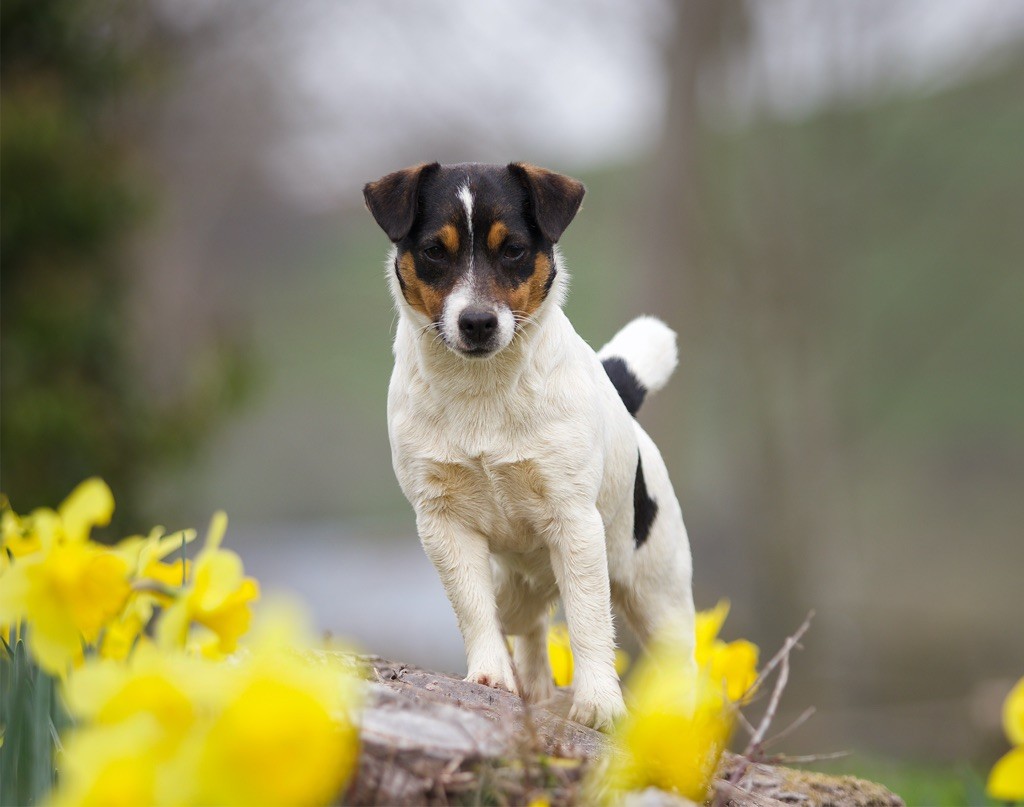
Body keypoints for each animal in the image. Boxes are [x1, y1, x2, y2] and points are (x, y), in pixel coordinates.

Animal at [362, 160, 696, 729]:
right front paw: (491, 677)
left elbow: (588, 619)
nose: (477, 322)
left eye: (514, 249)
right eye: (435, 251)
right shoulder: (442, 522)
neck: (483, 390)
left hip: (660, 595)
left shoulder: (574, 523)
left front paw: (599, 702)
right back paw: (534, 691)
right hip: (515, 585)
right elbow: (473, 610)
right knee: (528, 627)